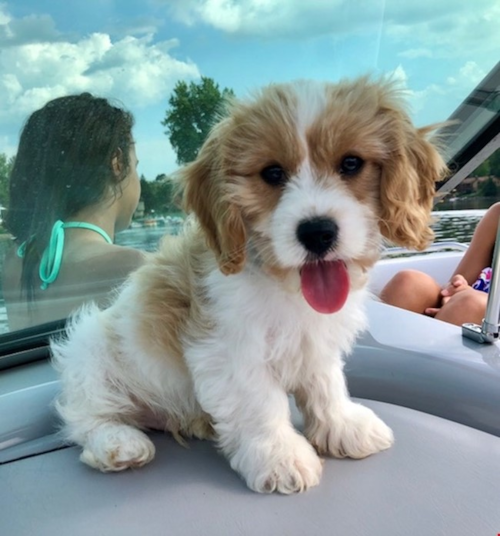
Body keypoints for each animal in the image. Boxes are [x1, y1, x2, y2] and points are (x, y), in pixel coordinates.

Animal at [52, 76, 448, 494]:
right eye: (272, 173)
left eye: (351, 163)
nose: (317, 231)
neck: (285, 284)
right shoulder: (228, 348)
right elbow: (260, 402)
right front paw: (280, 455)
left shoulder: (316, 340)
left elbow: (326, 383)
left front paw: (343, 425)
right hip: (89, 351)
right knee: (86, 415)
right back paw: (117, 442)